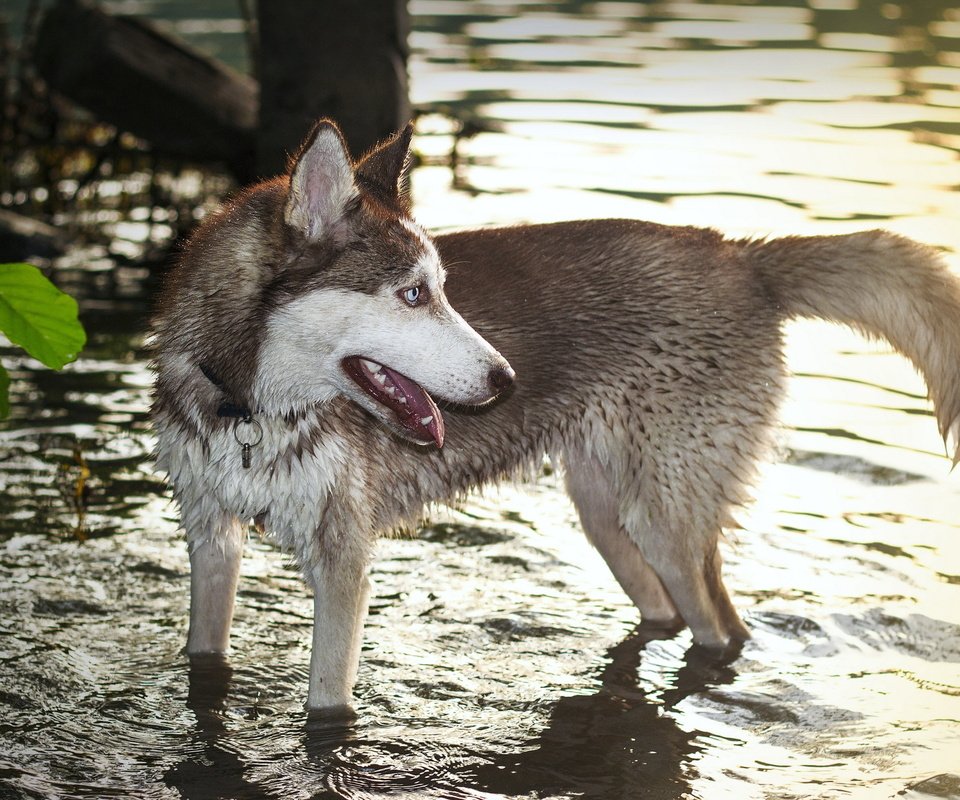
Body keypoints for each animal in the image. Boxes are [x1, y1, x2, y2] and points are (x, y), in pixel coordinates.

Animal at [154, 120, 960, 712]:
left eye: (442, 288)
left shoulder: (343, 564)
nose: (505, 379)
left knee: (721, 627)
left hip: (666, 517)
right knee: (664, 611)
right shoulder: (211, 539)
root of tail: (741, 255)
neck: (248, 408)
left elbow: (326, 706)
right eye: (414, 294)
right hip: (606, 511)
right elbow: (204, 653)